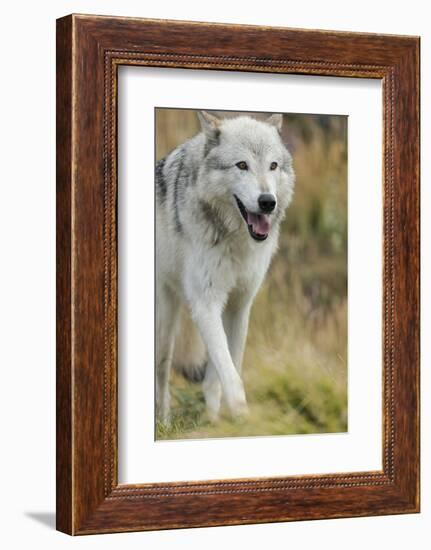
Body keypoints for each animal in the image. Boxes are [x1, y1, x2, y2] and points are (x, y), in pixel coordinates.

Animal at [156, 111, 296, 426]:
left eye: (273, 165)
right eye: (242, 165)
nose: (268, 202)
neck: (235, 241)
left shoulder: (239, 305)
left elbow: (220, 374)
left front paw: (214, 422)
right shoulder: (206, 305)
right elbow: (231, 377)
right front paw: (243, 420)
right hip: (165, 325)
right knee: (161, 374)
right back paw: (163, 424)